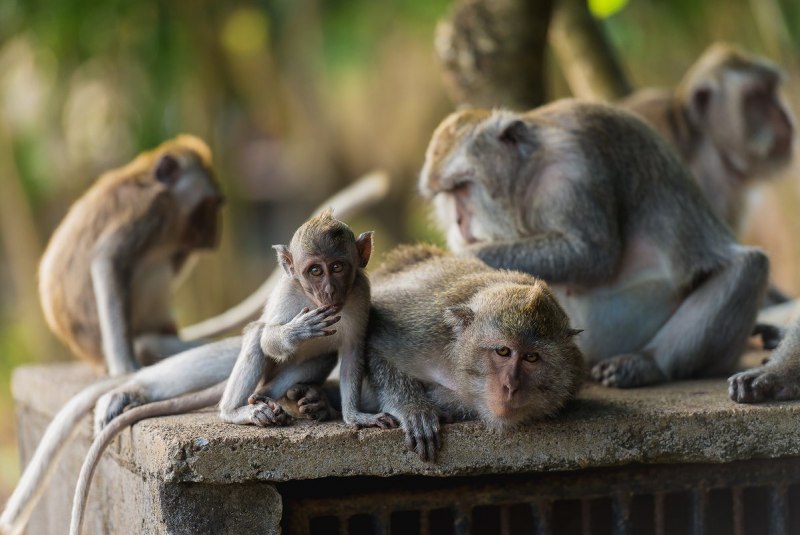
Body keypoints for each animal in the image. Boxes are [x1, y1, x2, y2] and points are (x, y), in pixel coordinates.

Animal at [422, 100, 772, 392]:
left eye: (462, 187)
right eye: (446, 194)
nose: (458, 223)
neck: (529, 174)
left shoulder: (571, 173)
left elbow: (591, 254)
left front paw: (464, 258)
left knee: (748, 267)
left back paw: (646, 363)